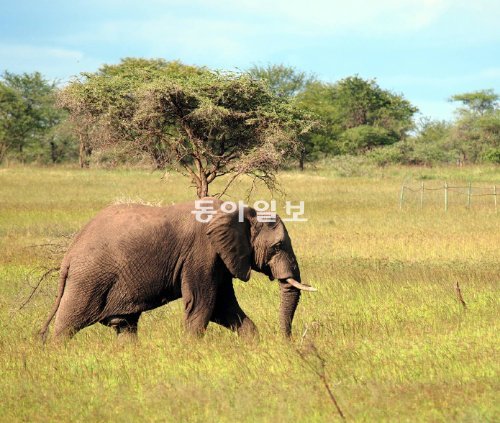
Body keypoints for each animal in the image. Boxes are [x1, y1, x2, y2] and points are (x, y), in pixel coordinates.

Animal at [39, 198, 314, 342]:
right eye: (277, 246)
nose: (286, 342)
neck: (240, 210)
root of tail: (69, 254)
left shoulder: (219, 259)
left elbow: (224, 307)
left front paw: (253, 345)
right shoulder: (202, 253)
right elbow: (203, 305)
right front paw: (192, 350)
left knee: (125, 326)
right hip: (89, 278)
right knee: (68, 324)